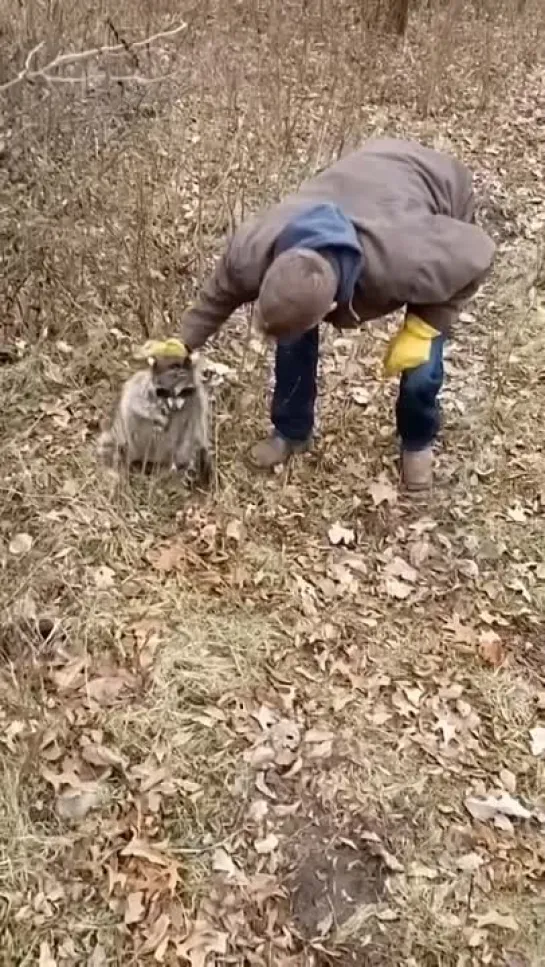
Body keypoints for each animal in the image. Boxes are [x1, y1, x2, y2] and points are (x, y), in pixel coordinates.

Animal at [96, 352, 211, 484]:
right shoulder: (140, 385)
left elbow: (199, 422)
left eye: (183, 391)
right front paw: (154, 414)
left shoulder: (197, 396)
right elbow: (134, 402)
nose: (174, 406)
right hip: (139, 440)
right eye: (164, 391)